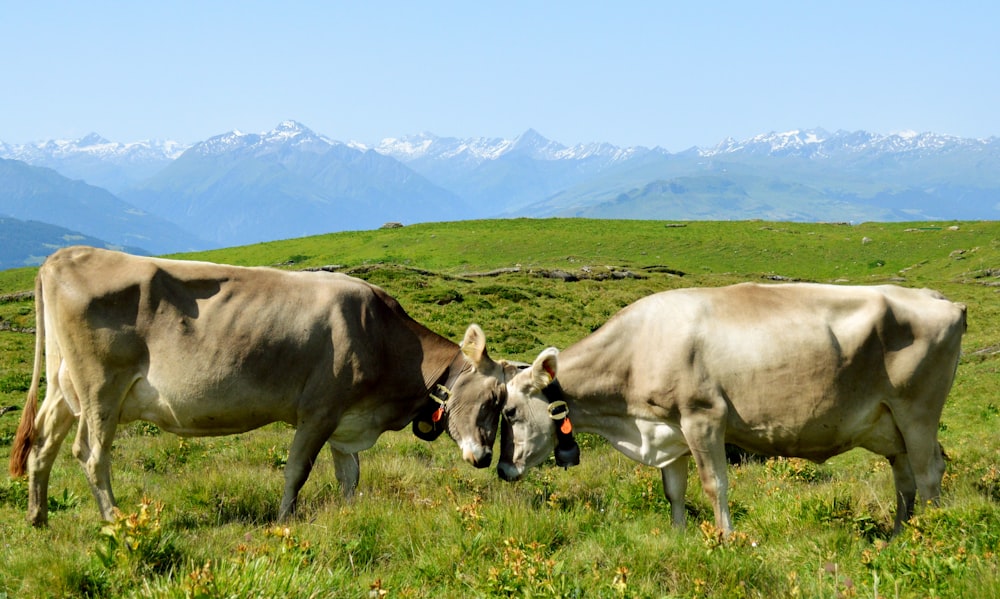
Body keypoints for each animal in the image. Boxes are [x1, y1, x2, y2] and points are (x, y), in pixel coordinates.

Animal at [7, 246, 508, 528]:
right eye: (491, 400)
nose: (485, 458)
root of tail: (64, 256)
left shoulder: (347, 421)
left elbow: (350, 476)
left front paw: (349, 513)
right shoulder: (319, 410)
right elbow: (297, 470)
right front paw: (285, 520)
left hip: (64, 385)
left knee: (42, 445)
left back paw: (37, 517)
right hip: (100, 389)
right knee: (90, 454)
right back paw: (116, 520)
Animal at [496, 284, 964, 536]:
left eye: (510, 412)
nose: (501, 469)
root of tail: (940, 299)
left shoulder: (703, 418)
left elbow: (714, 485)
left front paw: (724, 537)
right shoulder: (669, 429)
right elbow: (674, 490)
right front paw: (679, 536)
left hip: (918, 412)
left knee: (928, 473)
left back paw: (929, 536)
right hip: (890, 423)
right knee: (904, 479)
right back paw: (899, 534)